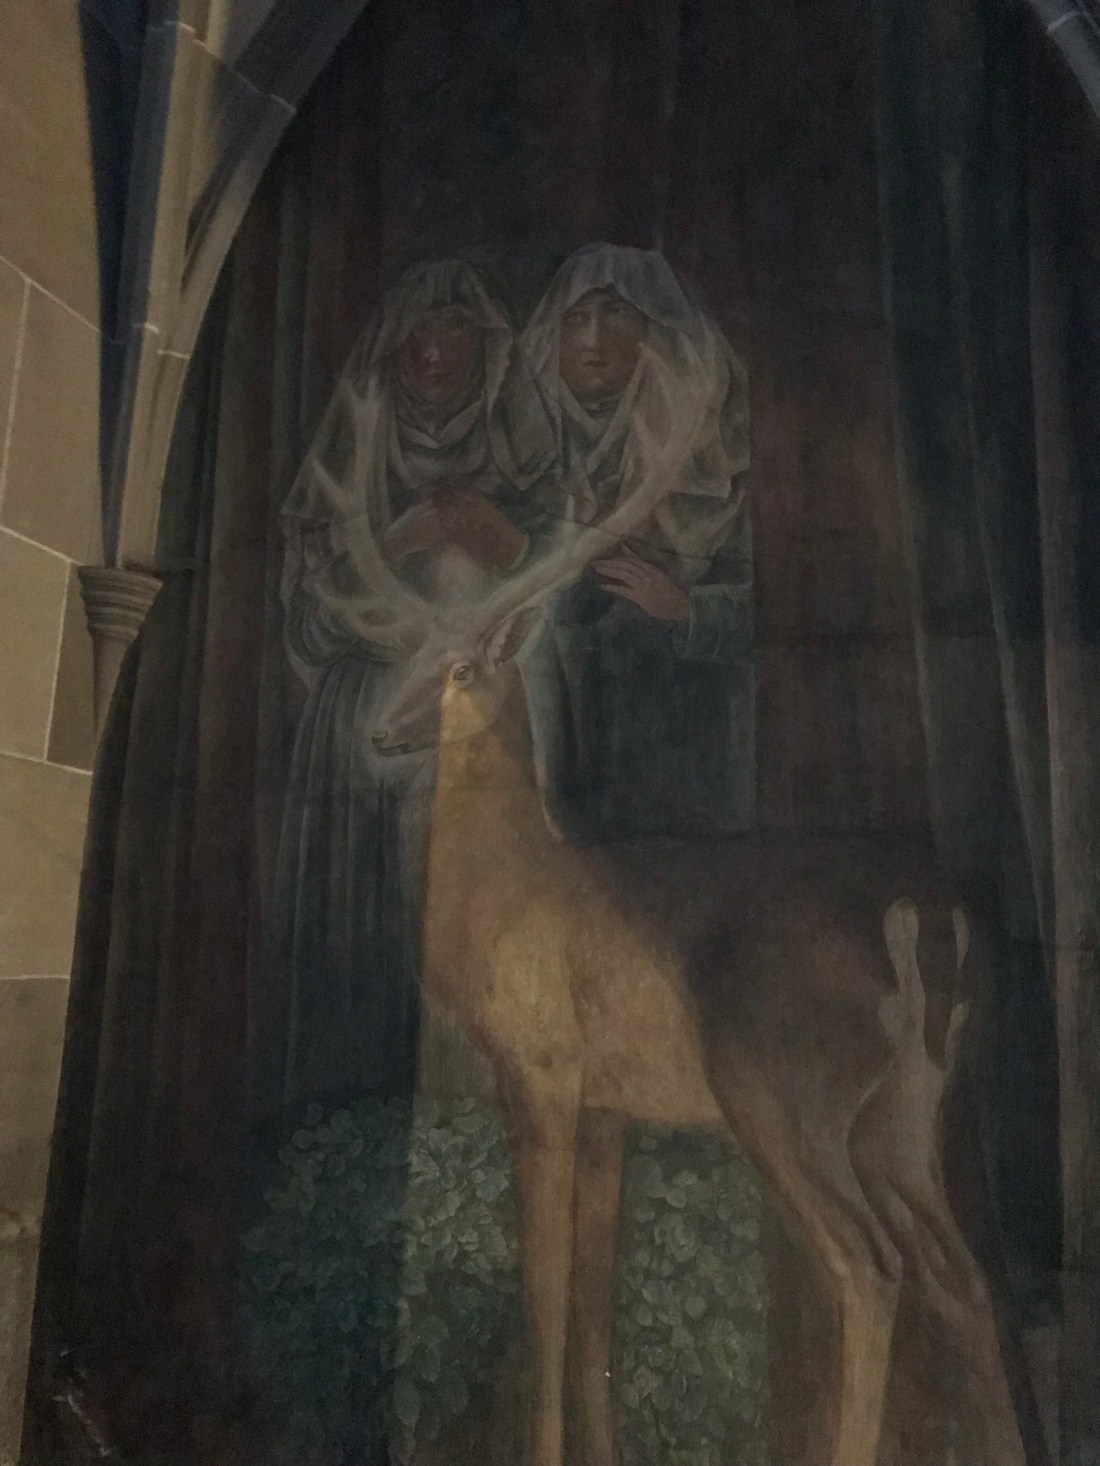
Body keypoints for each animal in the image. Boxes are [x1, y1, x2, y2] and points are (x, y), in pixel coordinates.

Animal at [301, 365, 1029, 1466]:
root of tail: (926, 910)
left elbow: (543, 1290)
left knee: (868, 1269)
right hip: (907, 1110)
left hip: (782, 1087)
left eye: (464, 665)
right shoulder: (613, 1106)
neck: (505, 889)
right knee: (965, 1276)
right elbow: (593, 1302)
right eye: (411, 650)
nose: (382, 731)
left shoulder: (542, 1064)